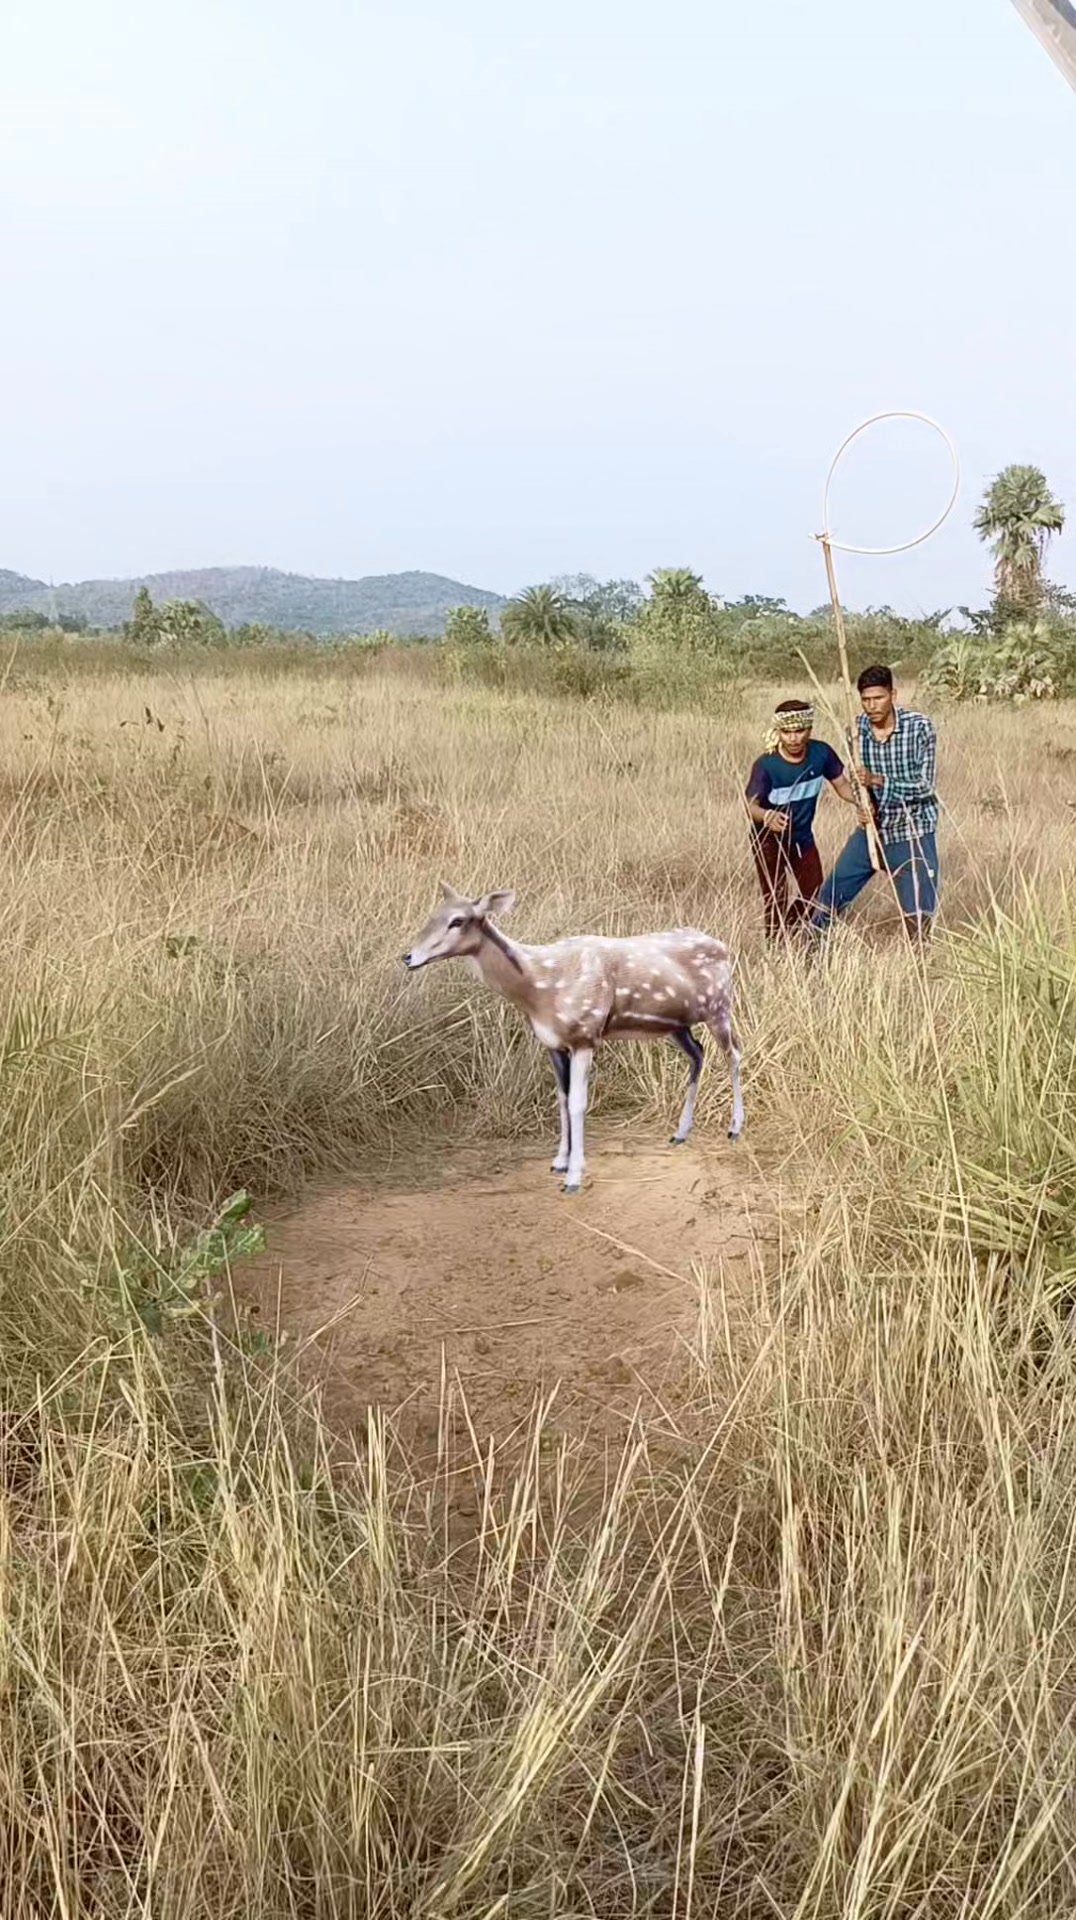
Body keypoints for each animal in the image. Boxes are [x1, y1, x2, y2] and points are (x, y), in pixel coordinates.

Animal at [402, 884, 744, 1194]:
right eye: (432, 915)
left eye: (457, 920)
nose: (408, 957)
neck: (541, 988)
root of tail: (725, 947)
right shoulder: (553, 1044)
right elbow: (562, 1099)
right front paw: (559, 1162)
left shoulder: (586, 1035)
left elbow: (579, 1102)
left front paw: (574, 1178)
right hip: (678, 1024)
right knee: (698, 1053)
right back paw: (680, 1133)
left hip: (720, 1006)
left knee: (734, 1053)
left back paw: (735, 1129)